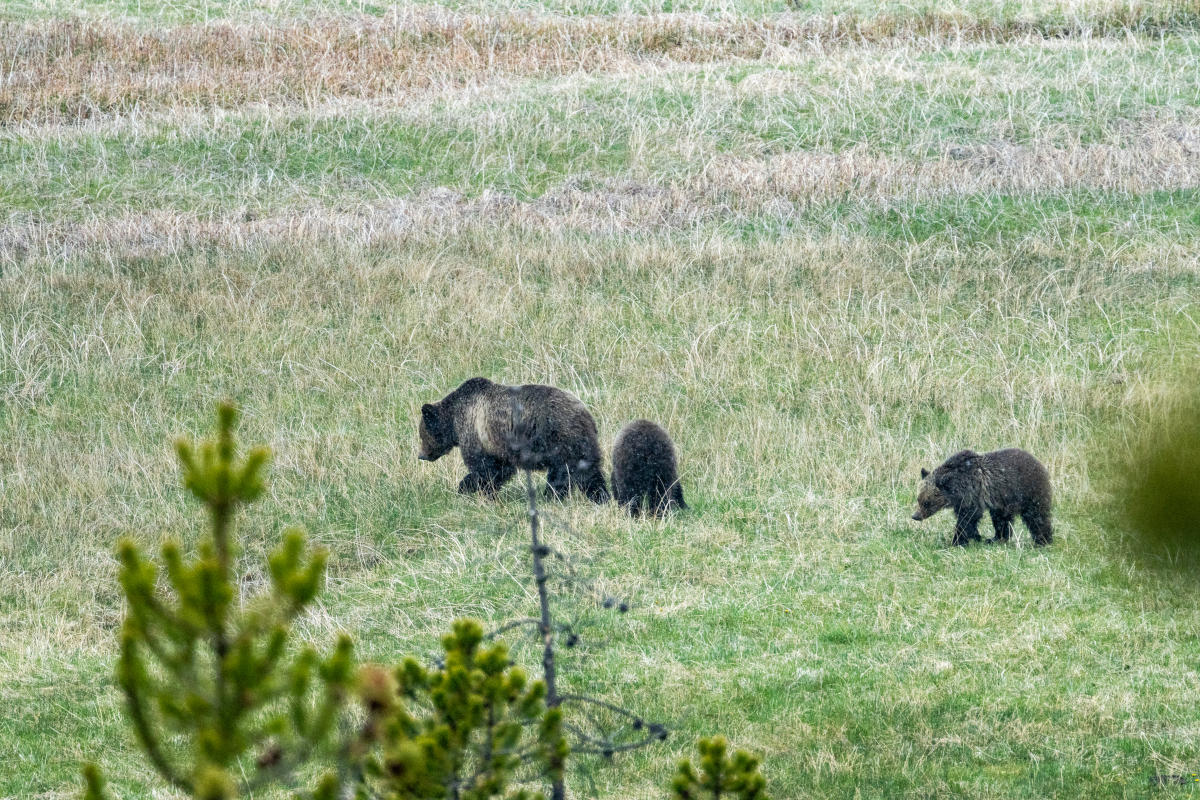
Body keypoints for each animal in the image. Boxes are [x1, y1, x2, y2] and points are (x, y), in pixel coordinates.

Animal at [418, 377, 609, 503]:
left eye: (421, 435)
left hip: (558, 439)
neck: (454, 420)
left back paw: (551, 496)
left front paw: (468, 488)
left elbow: (485, 469)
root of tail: (585, 414)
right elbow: (500, 469)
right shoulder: (498, 446)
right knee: (590, 473)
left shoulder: (477, 433)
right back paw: (600, 497)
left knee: (562, 473)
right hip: (582, 444)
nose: (421, 455)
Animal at [912, 448, 1053, 546]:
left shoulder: (972, 494)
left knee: (1037, 517)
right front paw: (977, 537)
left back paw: (1043, 540)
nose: (915, 516)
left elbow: (967, 519)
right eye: (918, 499)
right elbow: (968, 520)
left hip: (1027, 492)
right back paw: (996, 538)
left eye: (926, 502)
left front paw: (957, 541)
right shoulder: (963, 501)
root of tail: (1038, 463)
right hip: (1002, 501)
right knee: (1001, 519)